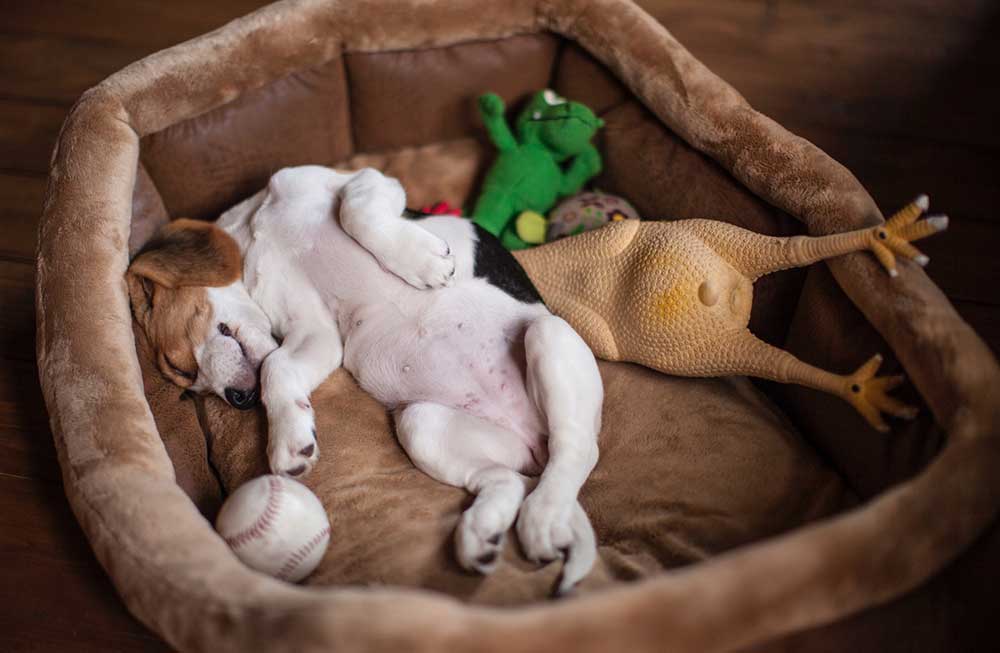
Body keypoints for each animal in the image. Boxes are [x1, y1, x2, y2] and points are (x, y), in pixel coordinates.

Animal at [130, 164, 604, 592]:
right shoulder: (315, 331)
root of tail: (533, 442)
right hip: (422, 424)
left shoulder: (364, 180)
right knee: (508, 477)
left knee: (577, 451)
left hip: (548, 335)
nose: (238, 398)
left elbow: (354, 211)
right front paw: (290, 439)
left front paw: (423, 262)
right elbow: (277, 367)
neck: (252, 231)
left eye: (180, 364)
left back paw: (543, 516)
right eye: (187, 383)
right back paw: (482, 532)